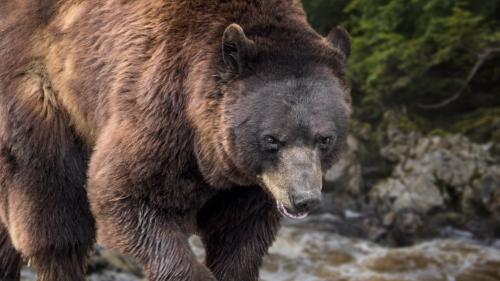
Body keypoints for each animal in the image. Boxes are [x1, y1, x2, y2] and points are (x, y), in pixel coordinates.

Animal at [0, 0, 352, 280]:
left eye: (325, 138)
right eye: (272, 139)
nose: (304, 198)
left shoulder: (250, 185)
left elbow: (240, 237)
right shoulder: (160, 106)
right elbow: (127, 196)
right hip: (41, 92)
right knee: (52, 208)